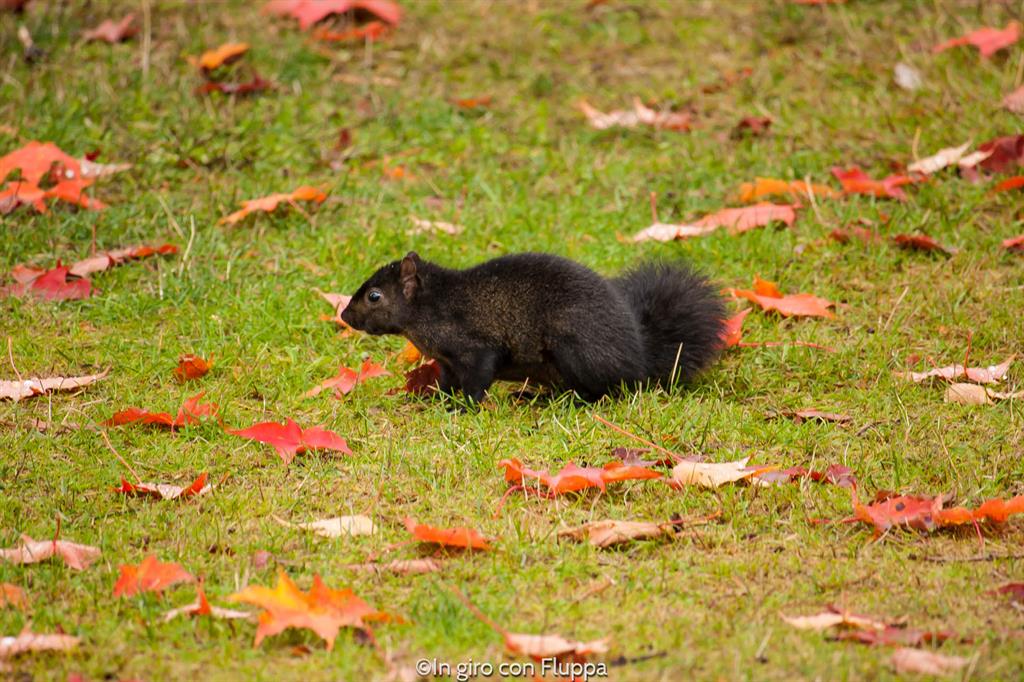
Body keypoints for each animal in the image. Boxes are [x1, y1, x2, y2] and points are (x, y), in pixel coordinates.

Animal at [340, 252, 727, 402]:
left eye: (374, 296)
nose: (344, 316)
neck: (431, 307)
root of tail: (641, 360)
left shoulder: (476, 347)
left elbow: (478, 379)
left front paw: (464, 406)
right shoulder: (447, 361)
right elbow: (447, 382)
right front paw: (437, 400)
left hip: (573, 348)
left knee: (600, 392)